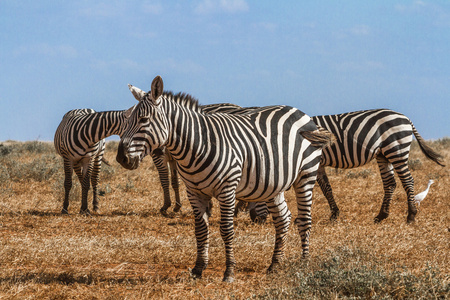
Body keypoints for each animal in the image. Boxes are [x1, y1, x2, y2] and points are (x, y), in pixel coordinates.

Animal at [116, 76, 334, 282]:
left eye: (143, 120)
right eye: (127, 120)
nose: (121, 158)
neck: (198, 144)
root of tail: (301, 113)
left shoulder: (227, 190)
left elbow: (226, 230)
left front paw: (229, 272)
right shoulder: (194, 192)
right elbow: (200, 230)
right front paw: (198, 269)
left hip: (306, 175)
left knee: (304, 220)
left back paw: (304, 263)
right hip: (273, 184)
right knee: (283, 219)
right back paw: (274, 265)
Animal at [248, 109, 444, 224]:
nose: (254, 220)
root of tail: (405, 118)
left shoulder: (313, 162)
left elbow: (319, 188)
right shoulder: (318, 164)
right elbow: (326, 188)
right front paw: (334, 214)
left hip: (396, 150)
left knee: (408, 181)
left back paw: (411, 215)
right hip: (383, 154)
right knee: (390, 183)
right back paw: (381, 216)